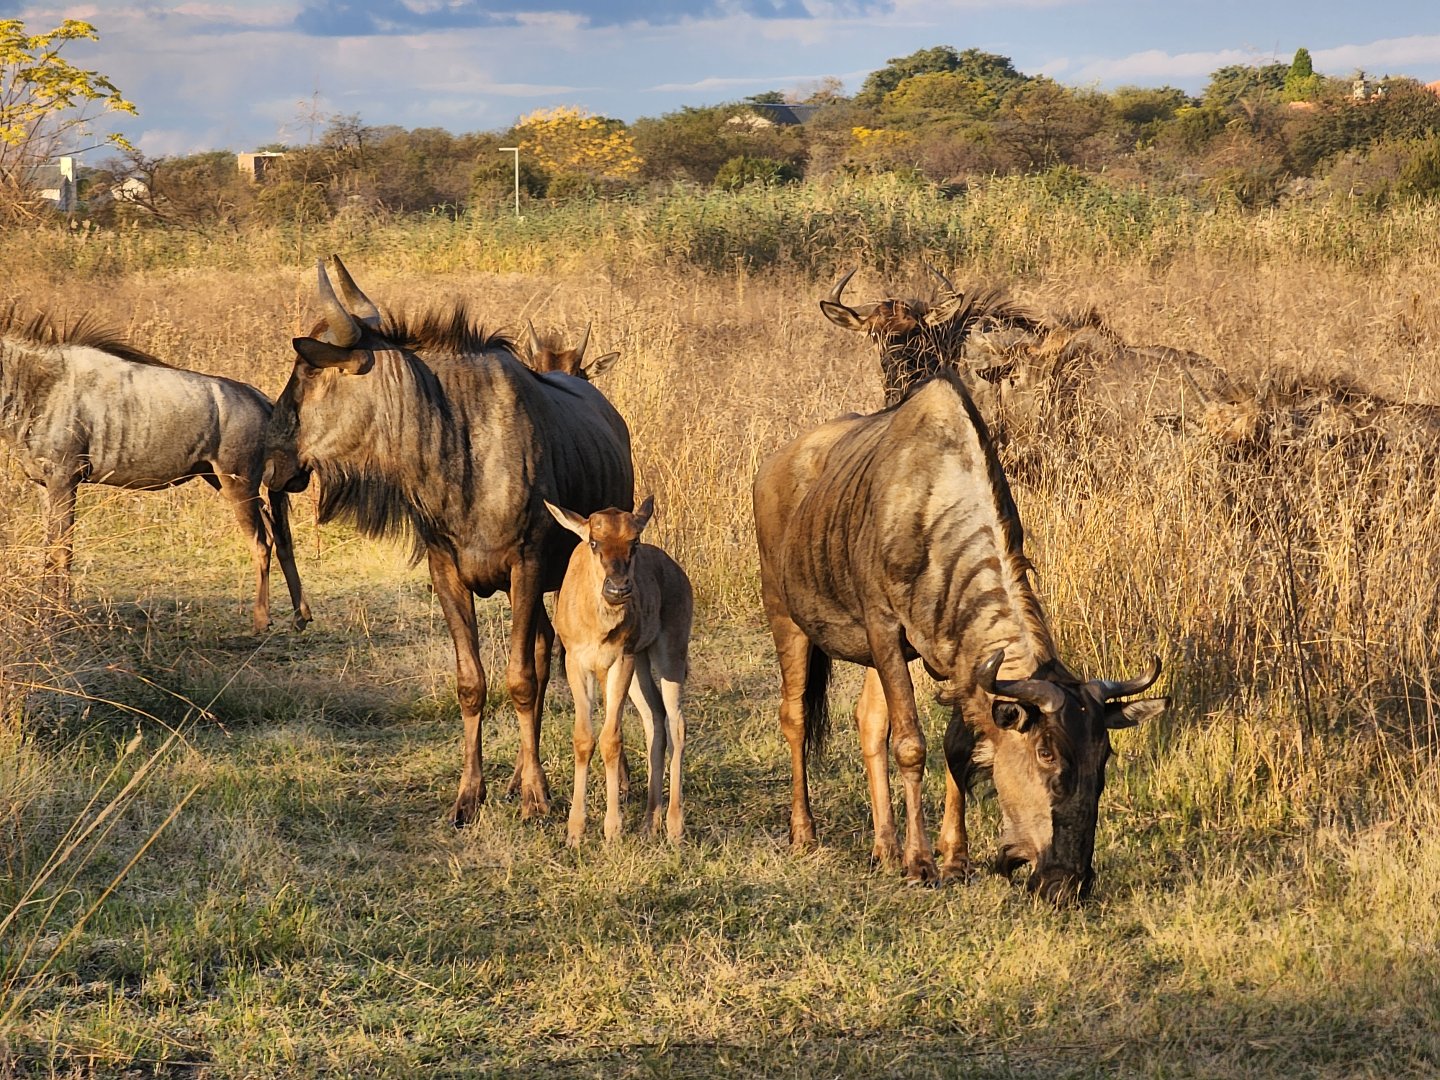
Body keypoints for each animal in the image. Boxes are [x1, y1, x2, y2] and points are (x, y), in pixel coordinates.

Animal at [544, 498, 691, 846]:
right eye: (593, 541)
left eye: (633, 542)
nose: (618, 589)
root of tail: (676, 571)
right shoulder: (577, 664)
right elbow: (584, 738)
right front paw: (575, 831)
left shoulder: (619, 661)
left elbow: (611, 738)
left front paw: (612, 830)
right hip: (640, 666)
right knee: (655, 720)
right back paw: (649, 823)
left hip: (669, 656)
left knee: (676, 724)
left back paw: (674, 825)